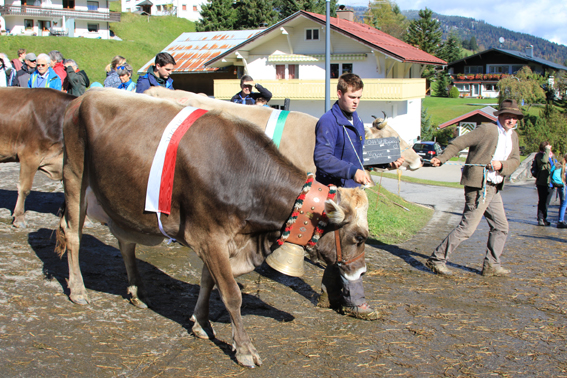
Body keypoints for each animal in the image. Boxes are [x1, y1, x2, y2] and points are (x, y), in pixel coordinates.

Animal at [55, 90, 370, 368]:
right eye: (358, 237)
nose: (361, 272)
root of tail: (83, 97)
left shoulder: (220, 240)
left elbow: (208, 281)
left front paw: (201, 323)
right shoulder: (209, 236)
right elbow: (231, 294)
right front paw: (244, 349)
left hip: (121, 199)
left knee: (125, 242)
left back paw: (137, 292)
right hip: (74, 175)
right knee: (72, 234)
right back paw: (79, 290)